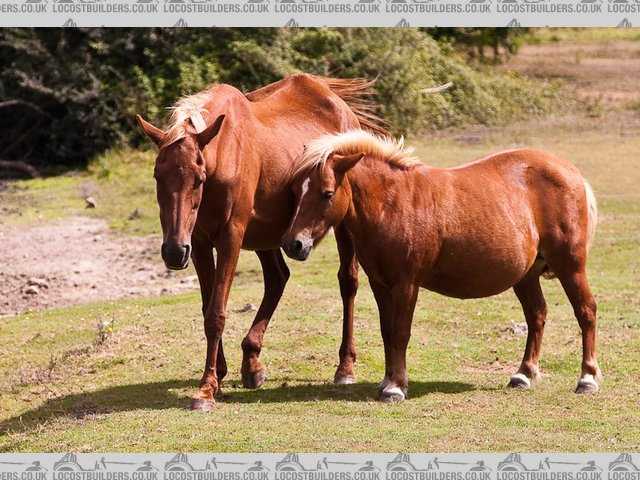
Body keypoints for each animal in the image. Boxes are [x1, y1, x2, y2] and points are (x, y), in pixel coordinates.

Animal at [136, 73, 384, 410]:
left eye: (198, 178)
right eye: (157, 177)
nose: (174, 252)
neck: (223, 154)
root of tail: (339, 104)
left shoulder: (230, 238)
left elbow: (216, 313)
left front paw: (206, 390)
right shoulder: (198, 244)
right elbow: (207, 307)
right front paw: (219, 376)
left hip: (340, 226)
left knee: (348, 282)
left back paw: (344, 366)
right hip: (266, 237)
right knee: (278, 278)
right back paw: (251, 363)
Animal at [282, 130, 604, 402]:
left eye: (327, 193)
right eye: (296, 190)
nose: (293, 244)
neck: (393, 202)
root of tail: (570, 172)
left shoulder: (406, 284)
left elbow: (401, 333)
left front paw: (396, 387)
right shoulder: (380, 283)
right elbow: (387, 332)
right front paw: (387, 382)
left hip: (570, 266)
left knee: (585, 311)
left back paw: (586, 378)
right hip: (526, 276)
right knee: (537, 315)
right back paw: (523, 374)